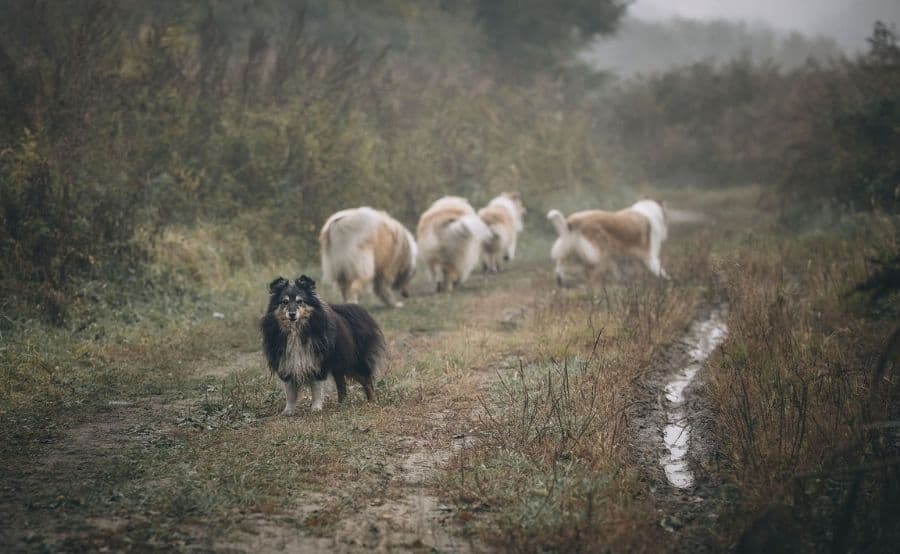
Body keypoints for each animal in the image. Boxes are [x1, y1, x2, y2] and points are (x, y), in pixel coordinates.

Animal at [262, 274, 384, 412]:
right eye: (285, 302)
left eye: (300, 301)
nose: (292, 314)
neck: (296, 331)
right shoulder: (285, 361)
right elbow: (290, 391)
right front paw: (288, 410)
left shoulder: (317, 360)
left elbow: (316, 387)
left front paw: (316, 407)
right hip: (339, 364)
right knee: (342, 384)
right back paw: (341, 404)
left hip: (353, 361)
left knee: (366, 380)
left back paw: (372, 402)